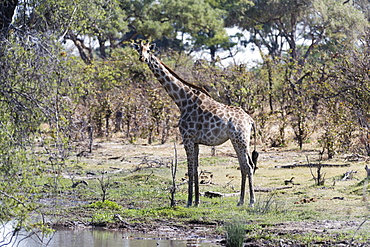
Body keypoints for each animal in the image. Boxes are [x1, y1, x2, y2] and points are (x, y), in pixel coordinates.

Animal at [133, 41, 258, 207]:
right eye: (139, 50)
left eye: (148, 50)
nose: (142, 58)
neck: (182, 101)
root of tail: (250, 120)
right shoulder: (196, 141)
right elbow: (196, 169)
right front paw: (197, 201)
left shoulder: (187, 138)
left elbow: (190, 169)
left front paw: (189, 202)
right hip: (237, 140)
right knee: (244, 166)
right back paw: (240, 201)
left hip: (241, 139)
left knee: (248, 166)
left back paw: (251, 202)